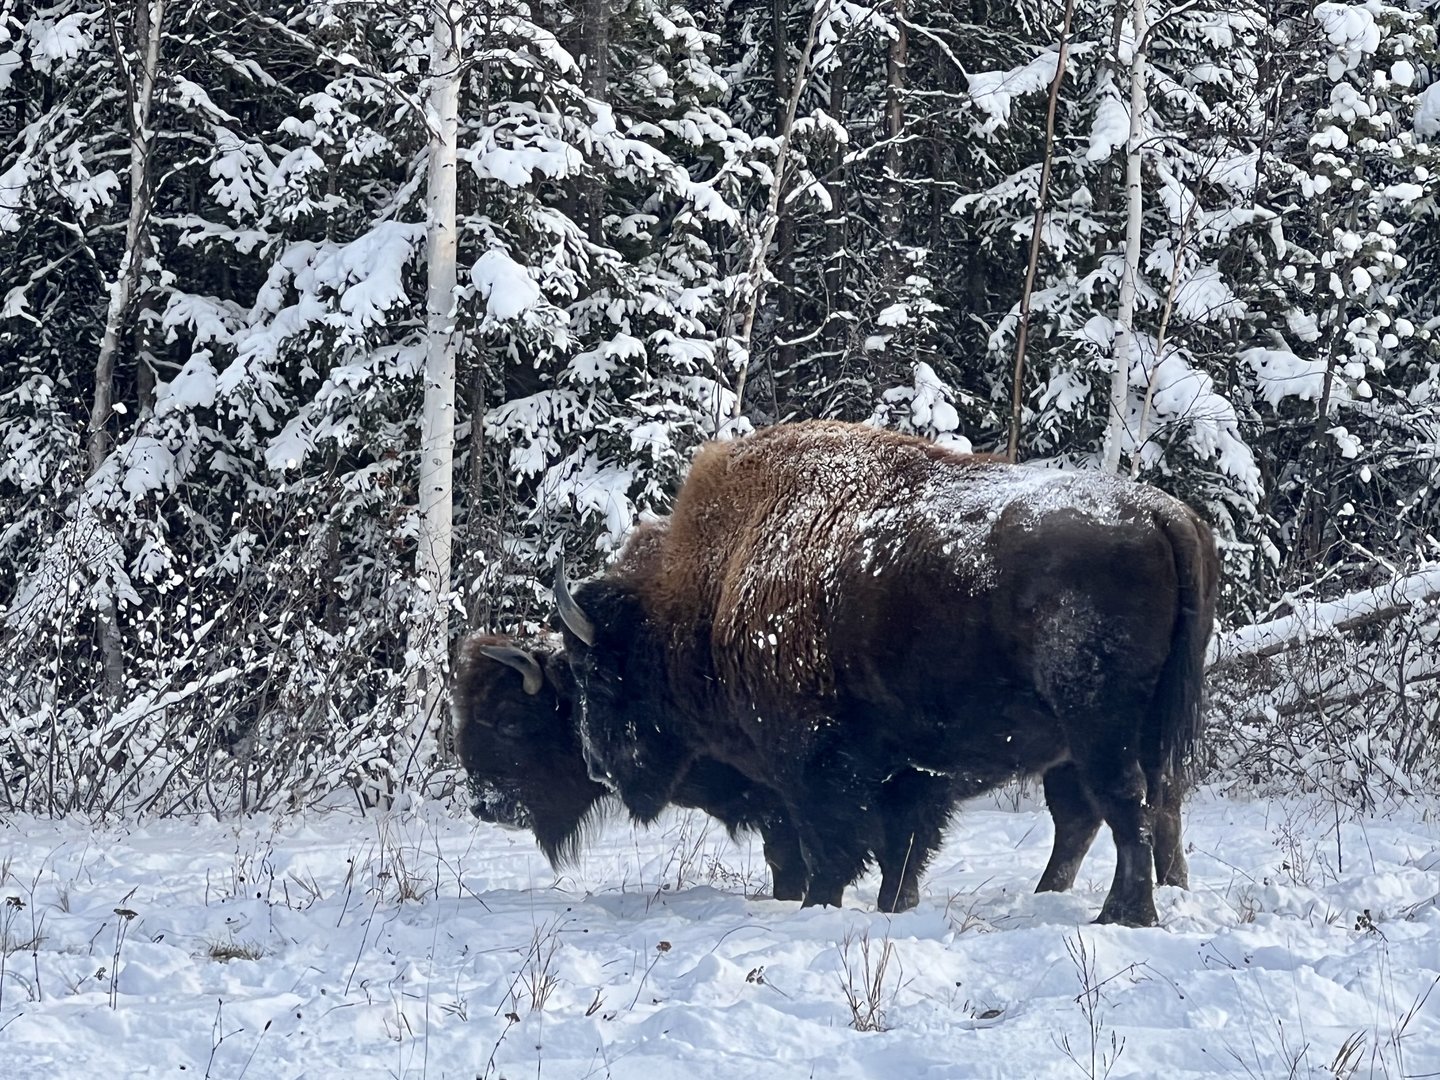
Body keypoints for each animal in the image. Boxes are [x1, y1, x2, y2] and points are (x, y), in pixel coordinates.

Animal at [555, 420, 1218, 926]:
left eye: (598, 676)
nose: (594, 764)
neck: (716, 584)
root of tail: (1162, 512)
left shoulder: (816, 765)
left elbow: (831, 846)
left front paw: (821, 907)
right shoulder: (908, 770)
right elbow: (901, 847)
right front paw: (893, 906)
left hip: (1096, 723)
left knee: (1123, 804)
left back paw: (1123, 915)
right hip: (1121, 731)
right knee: (1134, 806)